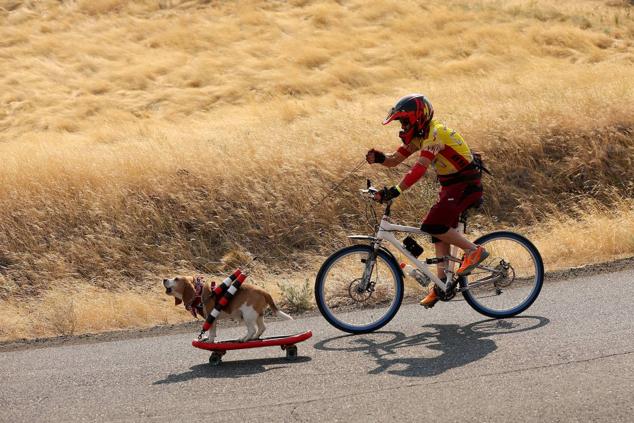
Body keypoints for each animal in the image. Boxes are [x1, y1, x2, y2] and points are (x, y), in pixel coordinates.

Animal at [163, 276, 292, 342]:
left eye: (176, 278)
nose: (164, 279)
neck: (198, 292)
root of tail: (264, 291)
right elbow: (212, 332)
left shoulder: (211, 318)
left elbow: (211, 332)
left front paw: (209, 341)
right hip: (257, 315)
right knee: (261, 328)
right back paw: (254, 338)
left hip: (248, 316)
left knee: (252, 330)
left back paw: (244, 339)